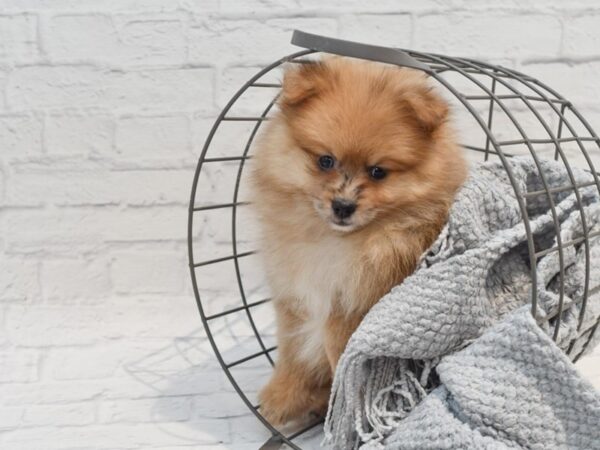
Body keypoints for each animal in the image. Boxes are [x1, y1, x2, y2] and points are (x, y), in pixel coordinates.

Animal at [251, 57, 466, 426]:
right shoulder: (294, 299)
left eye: (378, 171)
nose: (343, 206)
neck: (336, 243)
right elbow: (292, 354)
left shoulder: (354, 308)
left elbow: (341, 360)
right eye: (325, 160)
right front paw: (282, 397)